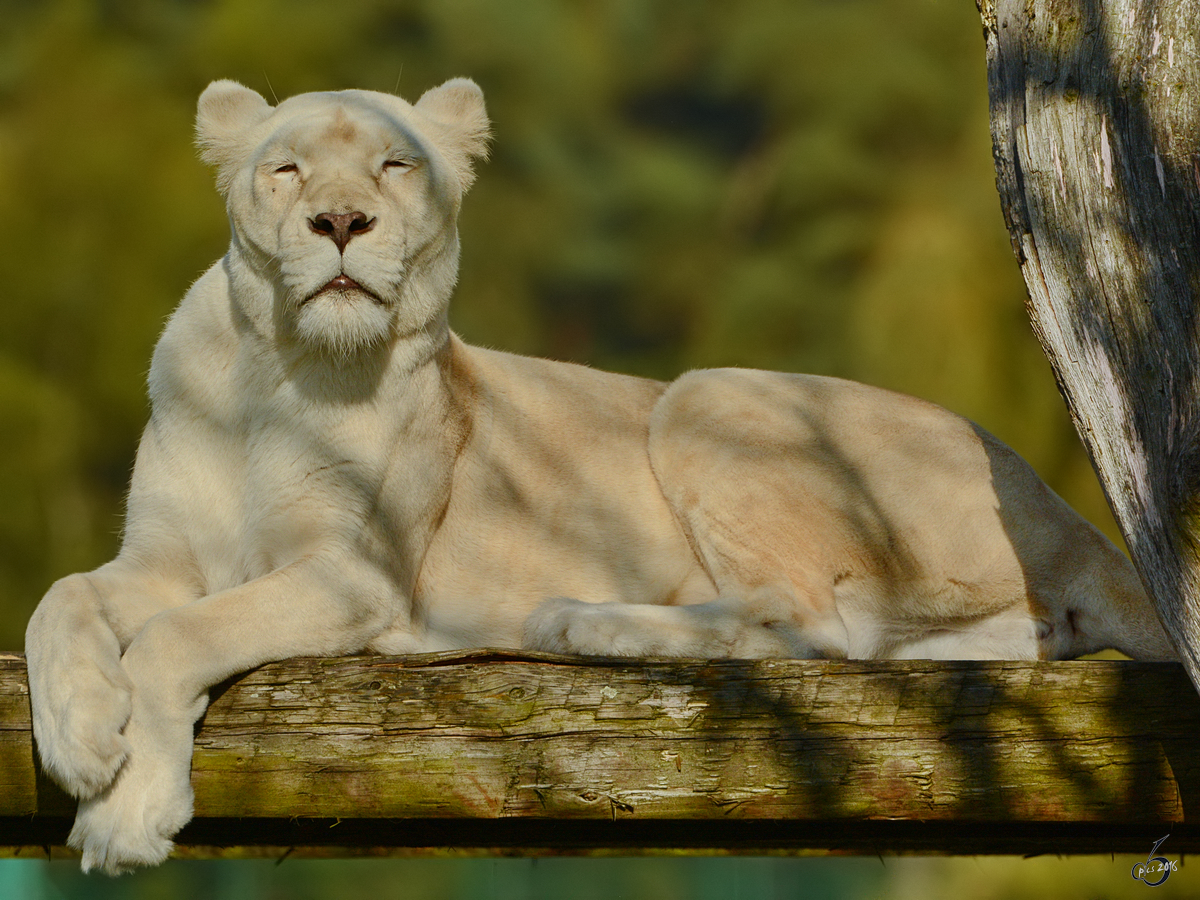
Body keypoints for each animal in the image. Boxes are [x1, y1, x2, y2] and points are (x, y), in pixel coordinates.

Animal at [23, 79, 1176, 873]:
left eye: (394, 168)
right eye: (288, 171)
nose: (341, 225)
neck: (280, 370)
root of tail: (1071, 514)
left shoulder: (356, 575)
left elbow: (178, 638)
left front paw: (124, 809)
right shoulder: (162, 555)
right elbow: (63, 600)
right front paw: (81, 735)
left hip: (706, 393)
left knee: (809, 625)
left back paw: (581, 621)